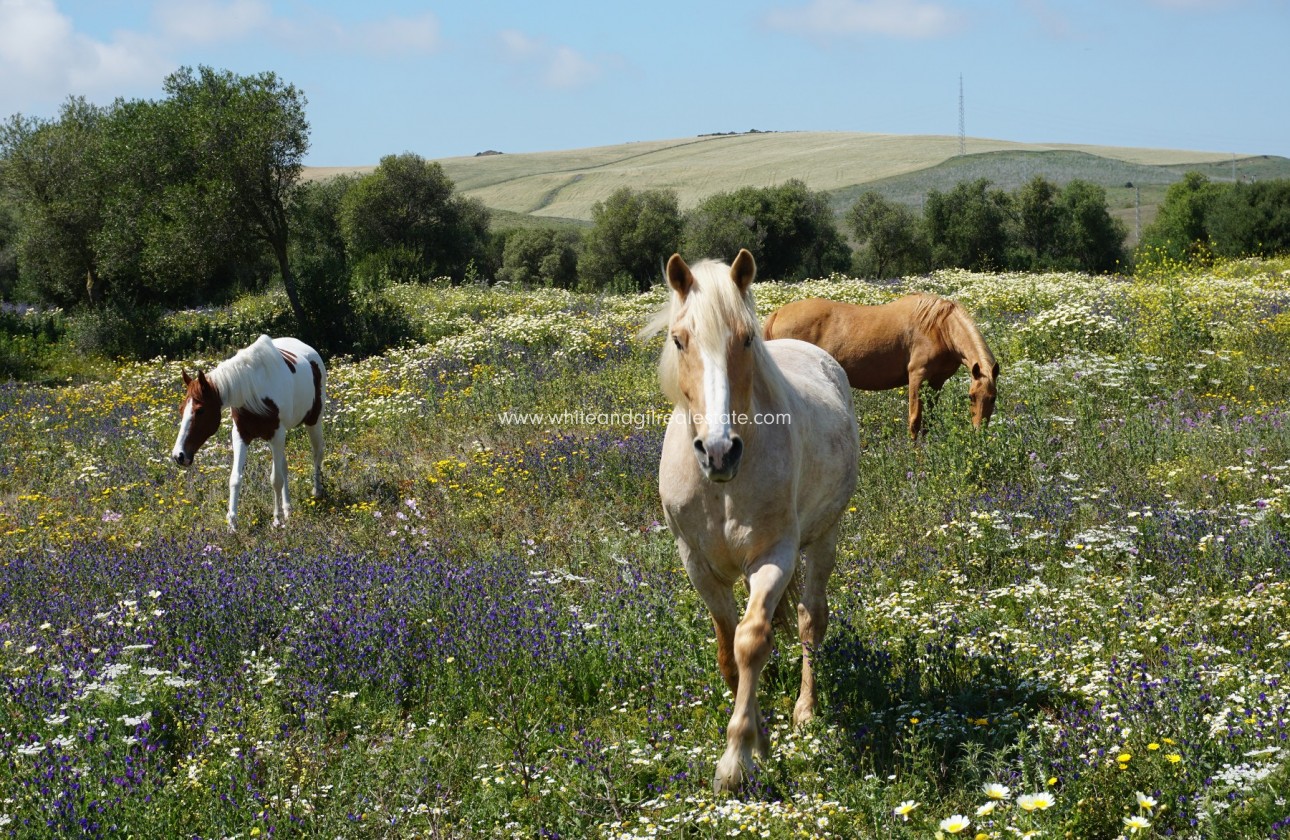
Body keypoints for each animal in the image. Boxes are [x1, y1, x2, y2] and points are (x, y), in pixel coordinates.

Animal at [171, 332, 325, 529]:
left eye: (200, 410)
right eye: (181, 409)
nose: (179, 455)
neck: (253, 391)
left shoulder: (276, 434)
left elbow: (275, 479)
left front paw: (276, 519)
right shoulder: (241, 435)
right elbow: (235, 478)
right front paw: (232, 523)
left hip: (313, 421)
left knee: (317, 454)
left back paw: (317, 492)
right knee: (284, 466)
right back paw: (288, 509)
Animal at [642, 250, 856, 794]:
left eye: (745, 339)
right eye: (679, 339)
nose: (719, 451)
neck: (722, 489)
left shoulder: (773, 556)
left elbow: (751, 639)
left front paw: (737, 758)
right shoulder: (696, 563)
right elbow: (726, 647)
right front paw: (758, 735)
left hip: (823, 539)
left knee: (809, 619)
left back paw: (805, 710)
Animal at [758, 294, 1001, 441]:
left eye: (992, 398)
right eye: (971, 396)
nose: (979, 432)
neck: (940, 328)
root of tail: (777, 314)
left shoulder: (936, 382)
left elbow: (928, 421)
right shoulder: (917, 376)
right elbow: (914, 420)